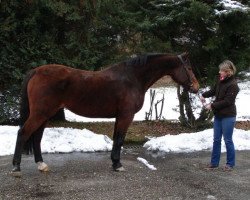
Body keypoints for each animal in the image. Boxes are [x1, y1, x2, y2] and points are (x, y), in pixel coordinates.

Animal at [11, 52, 199, 176]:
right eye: (189, 68)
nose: (197, 87)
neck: (133, 78)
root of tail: (36, 71)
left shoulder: (119, 116)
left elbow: (116, 138)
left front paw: (114, 162)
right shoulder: (126, 116)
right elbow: (120, 139)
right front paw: (118, 164)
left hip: (44, 115)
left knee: (36, 138)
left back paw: (41, 165)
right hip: (40, 114)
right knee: (23, 133)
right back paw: (16, 167)